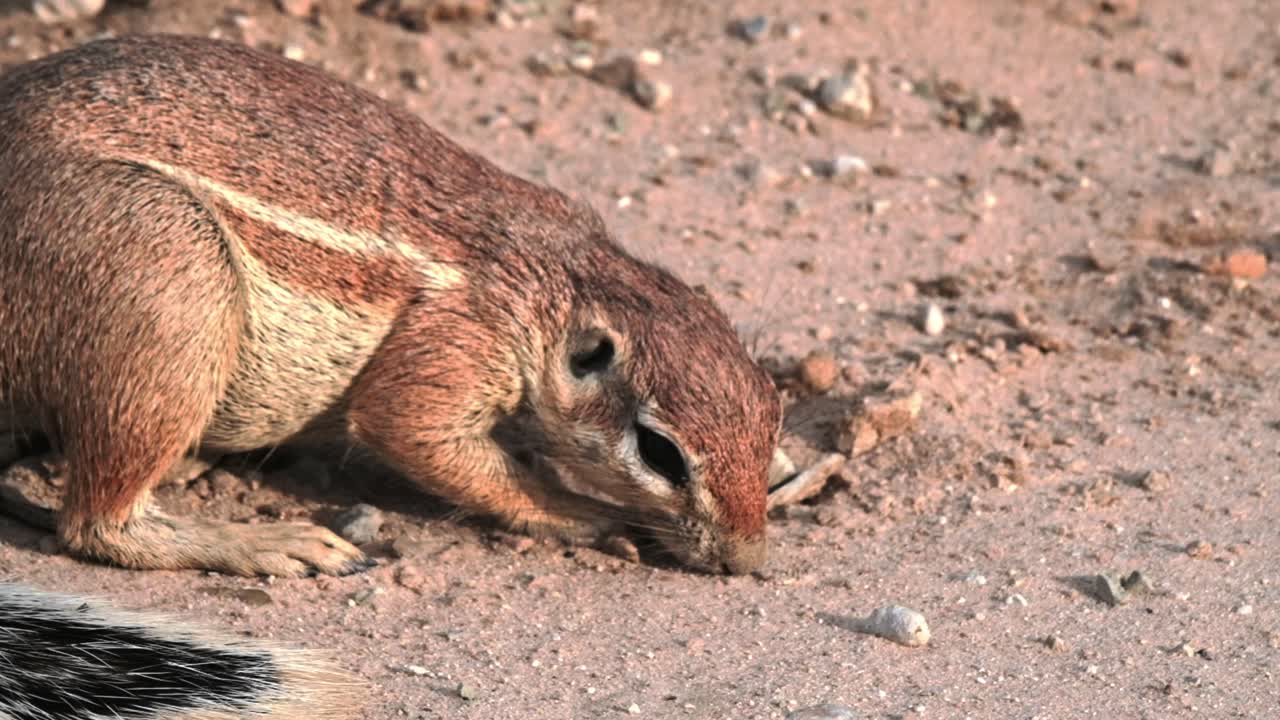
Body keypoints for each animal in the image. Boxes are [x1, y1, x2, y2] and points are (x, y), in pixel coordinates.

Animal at [0, 34, 782, 578]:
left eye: (774, 420)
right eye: (660, 453)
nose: (745, 562)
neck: (559, 280)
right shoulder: (461, 340)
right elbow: (417, 430)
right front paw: (586, 512)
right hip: (173, 261)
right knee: (98, 523)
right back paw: (268, 542)